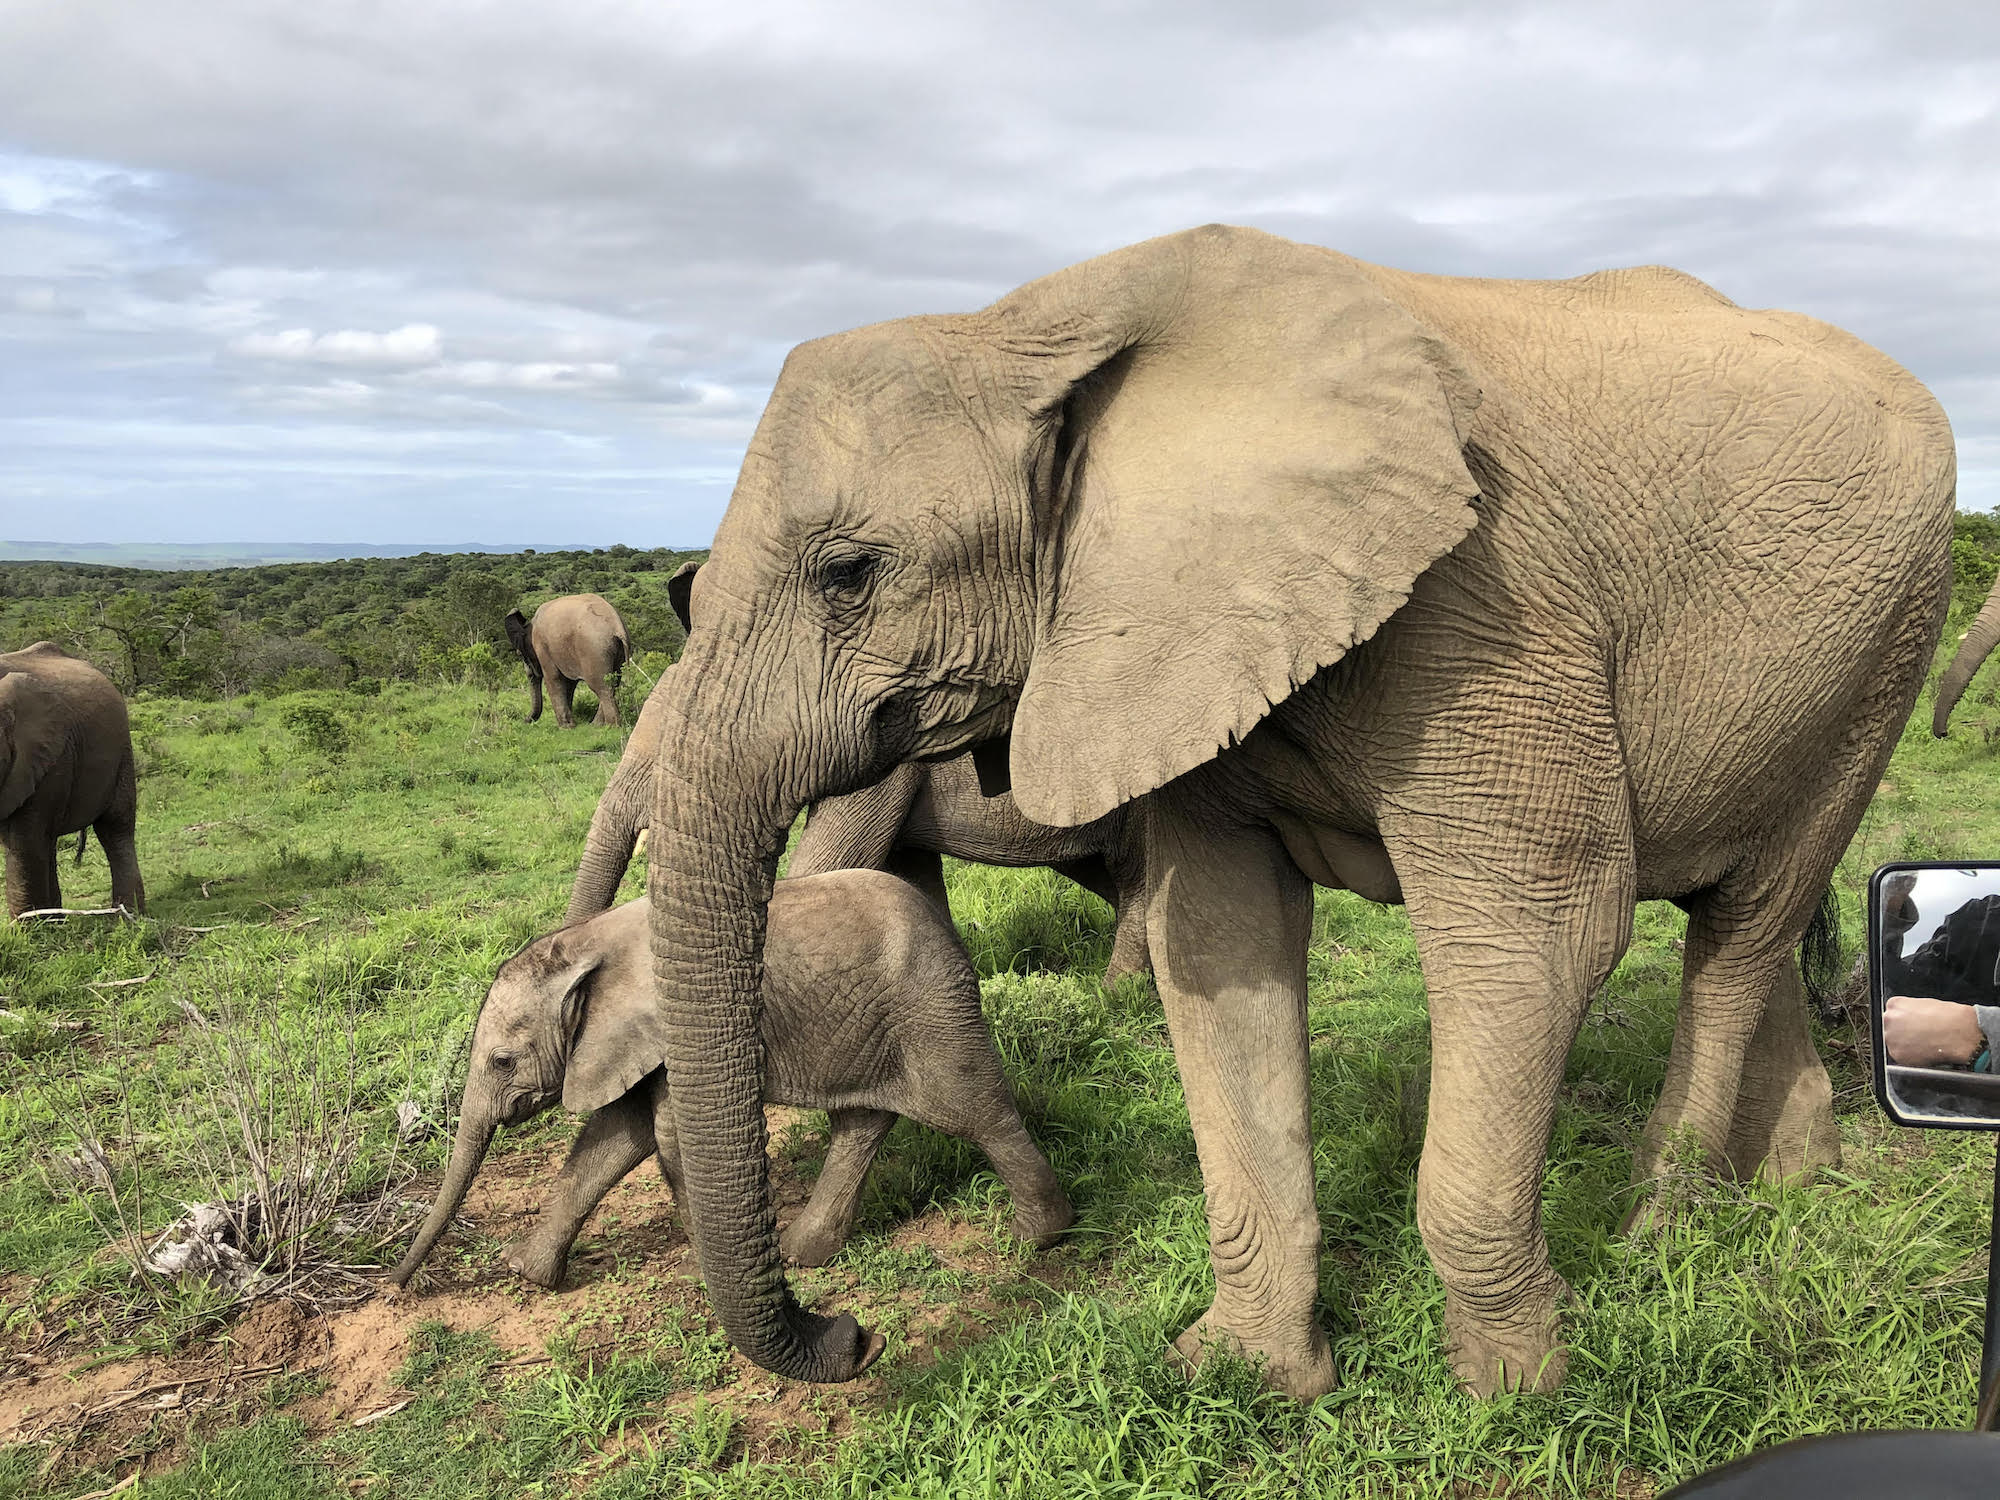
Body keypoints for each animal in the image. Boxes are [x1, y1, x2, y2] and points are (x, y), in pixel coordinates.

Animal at [0, 644, 146, 924]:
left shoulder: (44, 758)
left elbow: (22, 843)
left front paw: (25, 932)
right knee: (47, 842)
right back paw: (56, 921)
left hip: (121, 751)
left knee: (115, 829)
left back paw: (128, 917)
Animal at [392, 868, 1080, 1296]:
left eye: (503, 1063)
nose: (391, 1285)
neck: (584, 944)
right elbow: (615, 1138)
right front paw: (524, 1273)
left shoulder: (672, 1030)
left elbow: (661, 1136)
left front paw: (707, 1273)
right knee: (863, 1121)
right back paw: (804, 1254)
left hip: (931, 1008)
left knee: (976, 1112)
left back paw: (1038, 1239)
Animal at [504, 592, 628, 728]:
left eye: (520, 654)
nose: (525, 720)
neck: (529, 625)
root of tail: (617, 626)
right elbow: (569, 683)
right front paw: (570, 725)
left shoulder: (542, 647)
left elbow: (553, 678)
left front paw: (566, 727)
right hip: (614, 651)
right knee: (613, 683)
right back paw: (596, 725)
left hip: (595, 651)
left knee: (601, 686)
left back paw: (611, 726)